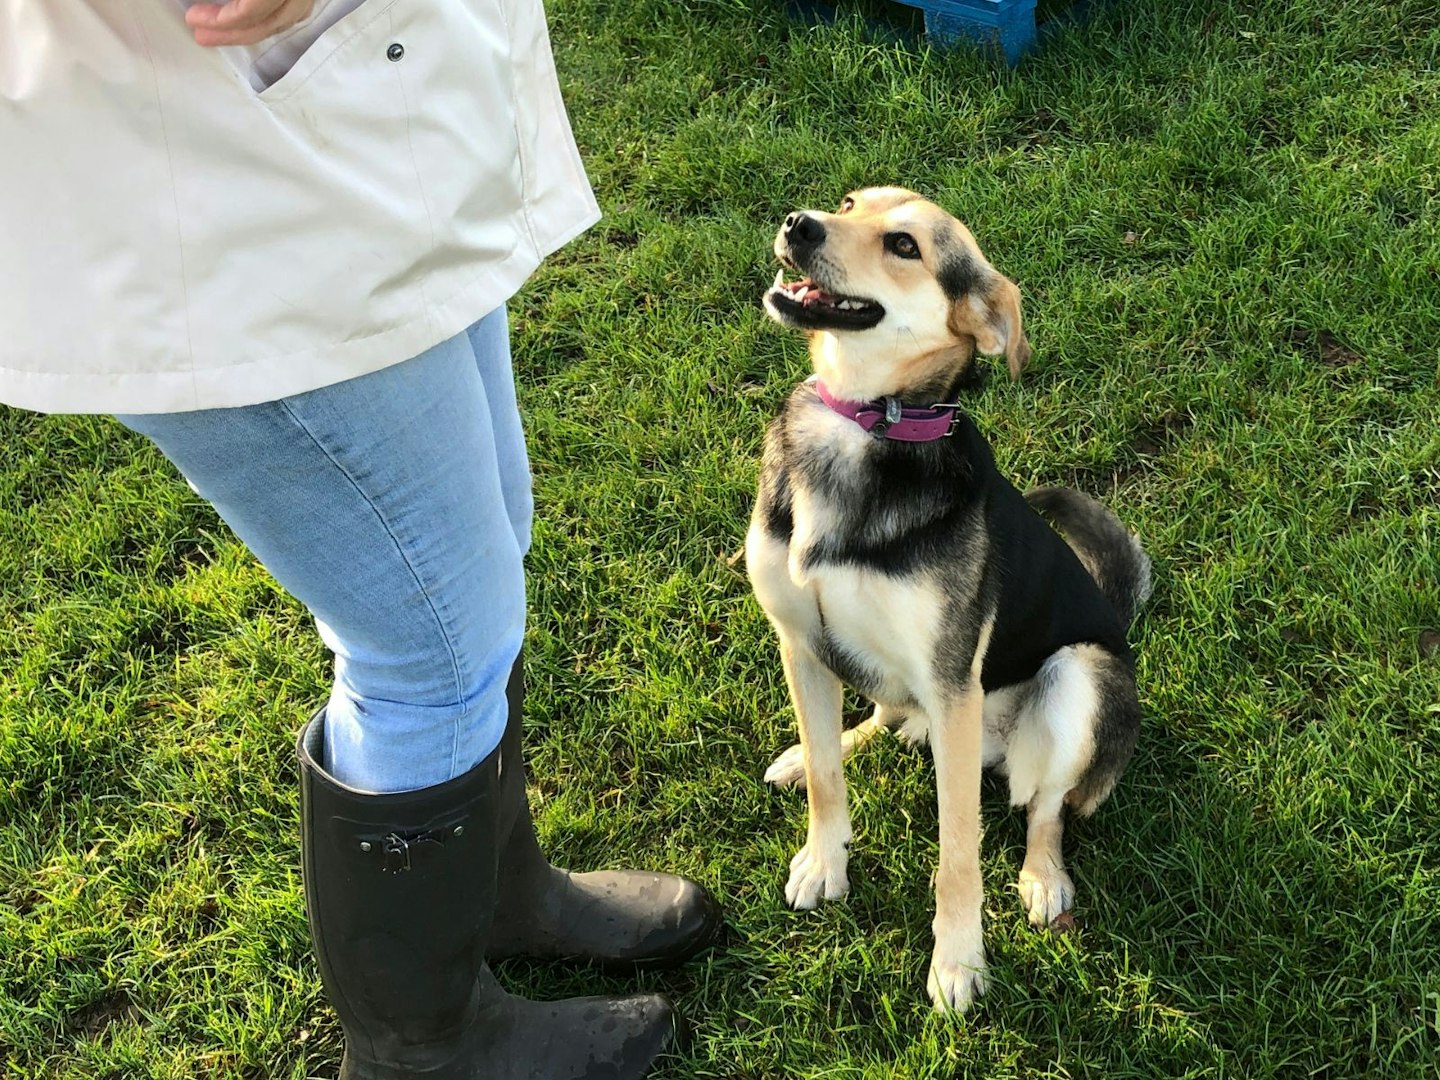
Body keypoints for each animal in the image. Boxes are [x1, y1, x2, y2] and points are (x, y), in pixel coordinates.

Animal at [748, 184, 1152, 1013]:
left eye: (906, 246)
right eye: (849, 203)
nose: (798, 224)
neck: (866, 423)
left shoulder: (952, 682)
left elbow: (958, 852)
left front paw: (958, 962)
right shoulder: (799, 640)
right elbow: (831, 781)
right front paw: (823, 858)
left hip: (1081, 675)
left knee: (1046, 808)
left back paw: (1042, 877)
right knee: (875, 718)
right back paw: (813, 752)